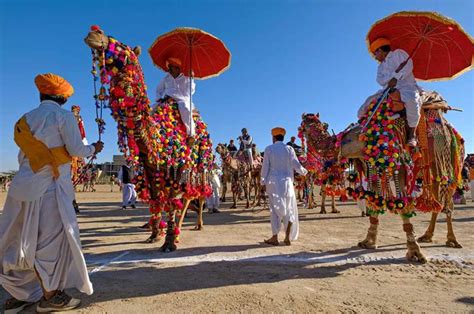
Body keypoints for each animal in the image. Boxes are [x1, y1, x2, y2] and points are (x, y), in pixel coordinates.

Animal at [84, 25, 214, 251]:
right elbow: (155, 199)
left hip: (199, 165)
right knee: (186, 198)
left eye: (122, 46)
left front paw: (169, 242)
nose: (95, 33)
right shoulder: (150, 168)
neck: (156, 138)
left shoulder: (176, 166)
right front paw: (155, 234)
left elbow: (171, 201)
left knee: (193, 194)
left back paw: (196, 225)